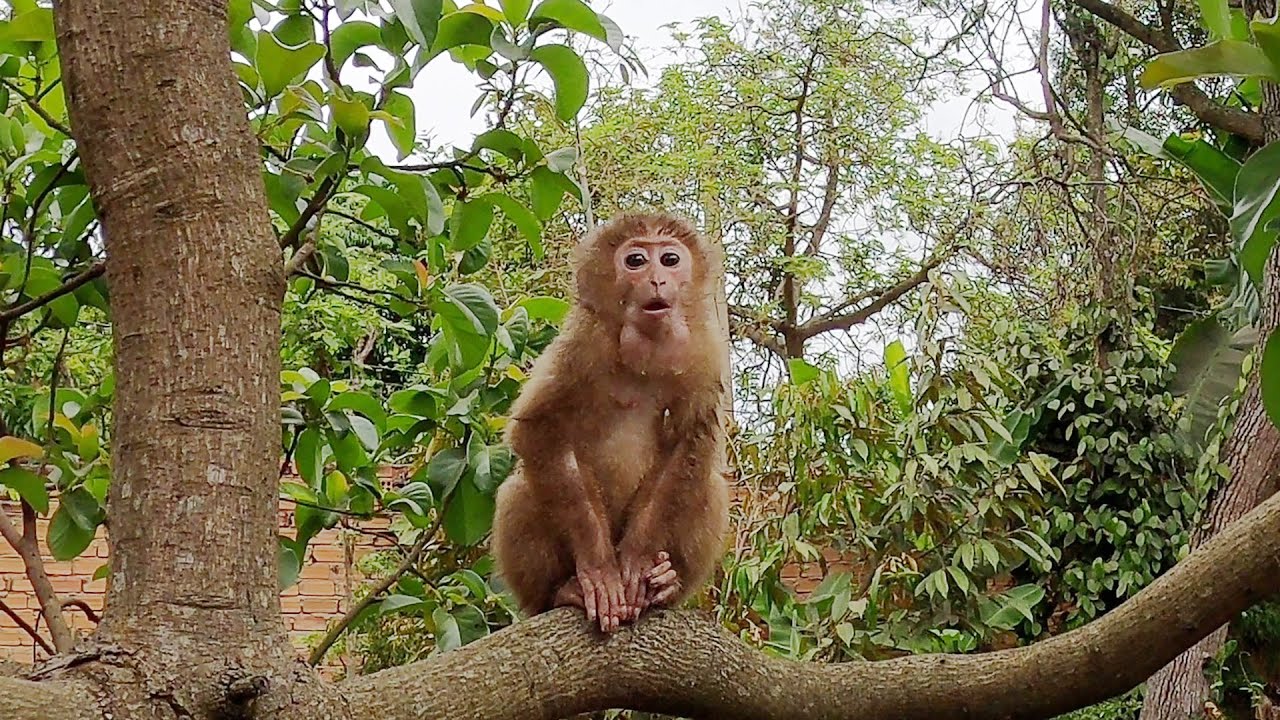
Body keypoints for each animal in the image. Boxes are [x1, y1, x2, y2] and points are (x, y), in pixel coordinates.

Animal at [490, 211, 729, 633]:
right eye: (635, 261)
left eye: (670, 260)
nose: (658, 280)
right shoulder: (584, 341)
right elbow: (539, 427)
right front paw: (600, 570)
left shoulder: (703, 348)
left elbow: (689, 439)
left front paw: (637, 561)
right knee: (519, 489)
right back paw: (558, 593)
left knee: (711, 488)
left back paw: (668, 583)